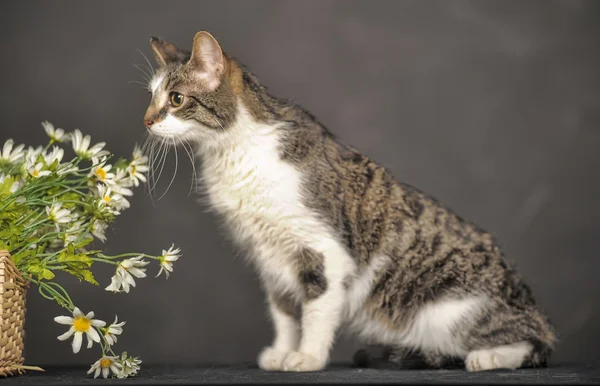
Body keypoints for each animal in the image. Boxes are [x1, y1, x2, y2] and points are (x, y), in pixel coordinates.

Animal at [142, 31, 556, 372]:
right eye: (150, 98)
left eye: (176, 99)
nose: (146, 121)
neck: (232, 152)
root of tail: (529, 301)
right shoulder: (270, 256)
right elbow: (284, 311)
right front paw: (282, 351)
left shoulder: (323, 249)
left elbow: (316, 309)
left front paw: (307, 357)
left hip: (450, 314)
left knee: (533, 341)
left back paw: (488, 357)